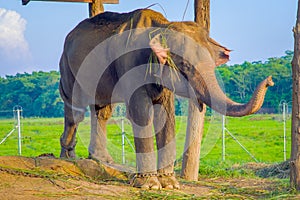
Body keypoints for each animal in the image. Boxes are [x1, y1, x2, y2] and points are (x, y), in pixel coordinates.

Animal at [58, 8, 272, 189]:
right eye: (184, 65)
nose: (269, 80)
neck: (162, 27)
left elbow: (166, 116)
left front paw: (170, 184)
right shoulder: (130, 65)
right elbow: (141, 113)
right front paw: (150, 185)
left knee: (101, 110)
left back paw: (102, 159)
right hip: (68, 67)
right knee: (75, 109)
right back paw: (68, 157)